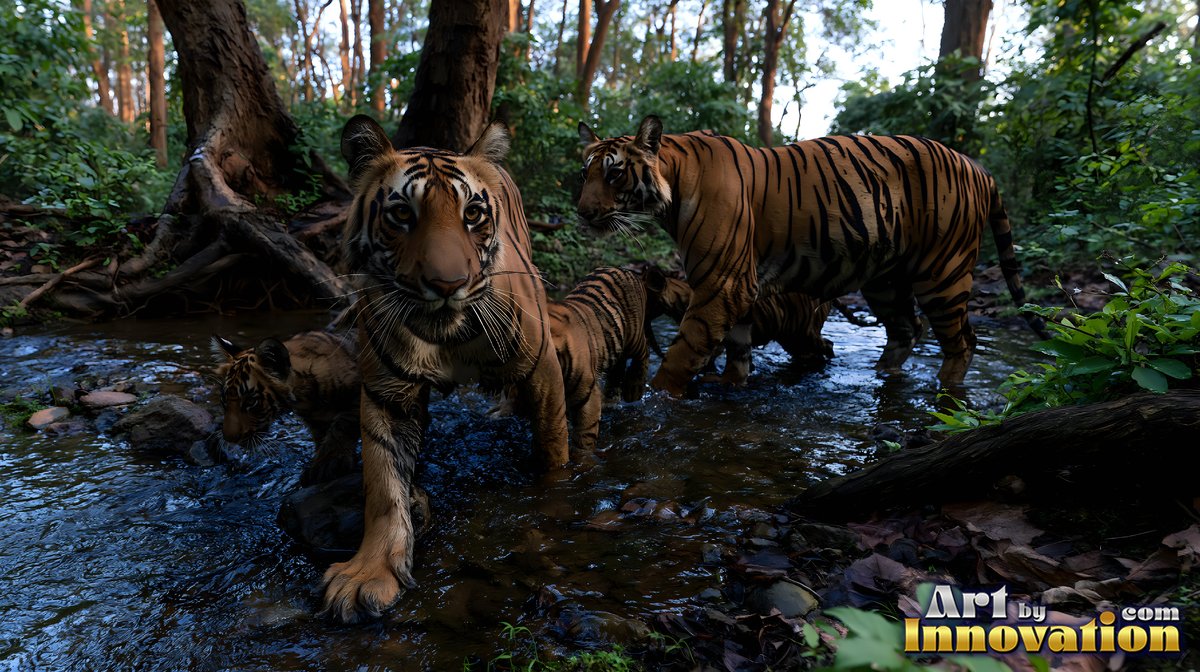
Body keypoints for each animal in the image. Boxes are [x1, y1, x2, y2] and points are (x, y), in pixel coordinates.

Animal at [212, 330, 360, 486]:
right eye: (224, 399)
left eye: (250, 401)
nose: (229, 439)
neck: (307, 401)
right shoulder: (317, 422)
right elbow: (323, 437)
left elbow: (342, 427)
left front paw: (326, 465)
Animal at [322, 114, 568, 624]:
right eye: (401, 215)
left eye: (472, 214)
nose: (448, 284)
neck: (447, 338)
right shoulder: (386, 393)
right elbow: (383, 486)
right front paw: (367, 575)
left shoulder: (543, 369)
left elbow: (554, 451)